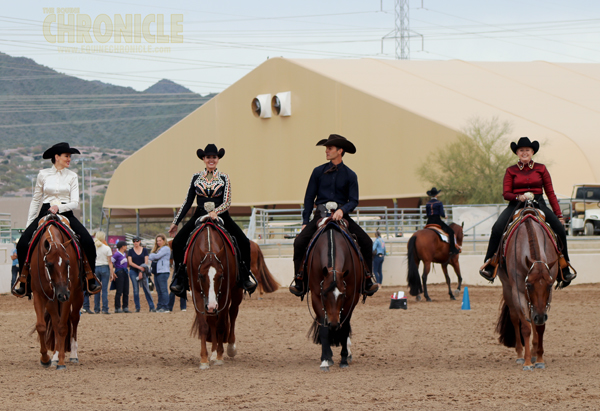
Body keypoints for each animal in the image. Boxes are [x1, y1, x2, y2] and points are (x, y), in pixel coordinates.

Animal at [28, 214, 84, 372]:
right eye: (49, 264)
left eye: (68, 263)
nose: (62, 294)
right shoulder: (40, 294)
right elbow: (41, 326)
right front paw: (46, 359)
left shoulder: (69, 295)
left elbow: (62, 327)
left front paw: (61, 362)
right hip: (53, 300)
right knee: (54, 322)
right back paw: (54, 356)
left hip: (77, 295)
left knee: (74, 319)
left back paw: (72, 355)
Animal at [188, 220, 244, 372]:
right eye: (201, 276)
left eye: (220, 276)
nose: (212, 305)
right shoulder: (197, 294)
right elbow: (204, 325)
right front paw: (204, 359)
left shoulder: (224, 294)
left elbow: (221, 324)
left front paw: (219, 357)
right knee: (212, 320)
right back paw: (212, 352)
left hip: (235, 292)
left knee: (233, 313)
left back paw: (230, 347)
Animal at [308, 219, 364, 374]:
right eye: (324, 294)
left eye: (342, 295)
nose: (334, 324)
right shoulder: (316, 296)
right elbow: (323, 328)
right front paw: (325, 360)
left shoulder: (351, 297)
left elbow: (344, 327)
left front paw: (344, 359)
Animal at [494, 208, 560, 372]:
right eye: (529, 284)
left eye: (550, 285)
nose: (540, 316)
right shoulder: (518, 292)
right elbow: (525, 327)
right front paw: (528, 362)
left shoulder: (545, 300)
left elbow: (540, 327)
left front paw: (540, 359)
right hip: (508, 290)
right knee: (515, 318)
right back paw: (520, 355)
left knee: (533, 319)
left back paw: (535, 352)